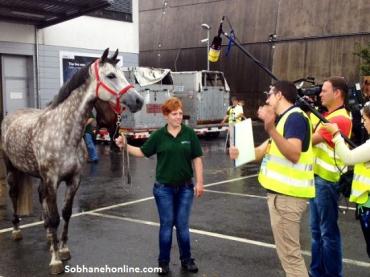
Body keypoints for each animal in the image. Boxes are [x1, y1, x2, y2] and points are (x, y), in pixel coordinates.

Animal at [0, 48, 144, 272]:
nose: (138, 101)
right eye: (111, 76)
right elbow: (55, 218)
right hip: (12, 168)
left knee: (41, 198)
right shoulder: (52, 181)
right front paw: (55, 260)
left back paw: (48, 237)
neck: (64, 132)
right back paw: (16, 230)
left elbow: (66, 213)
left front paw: (63, 250)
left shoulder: (74, 180)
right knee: (14, 194)